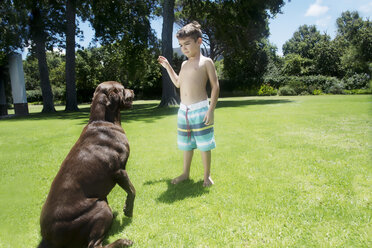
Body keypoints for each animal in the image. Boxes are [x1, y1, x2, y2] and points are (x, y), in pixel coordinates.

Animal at [37, 82, 136, 247]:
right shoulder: (119, 170)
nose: (133, 90)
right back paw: (123, 241)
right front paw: (128, 210)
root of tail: (47, 238)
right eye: (122, 88)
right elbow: (132, 190)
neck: (103, 121)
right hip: (100, 207)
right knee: (94, 244)